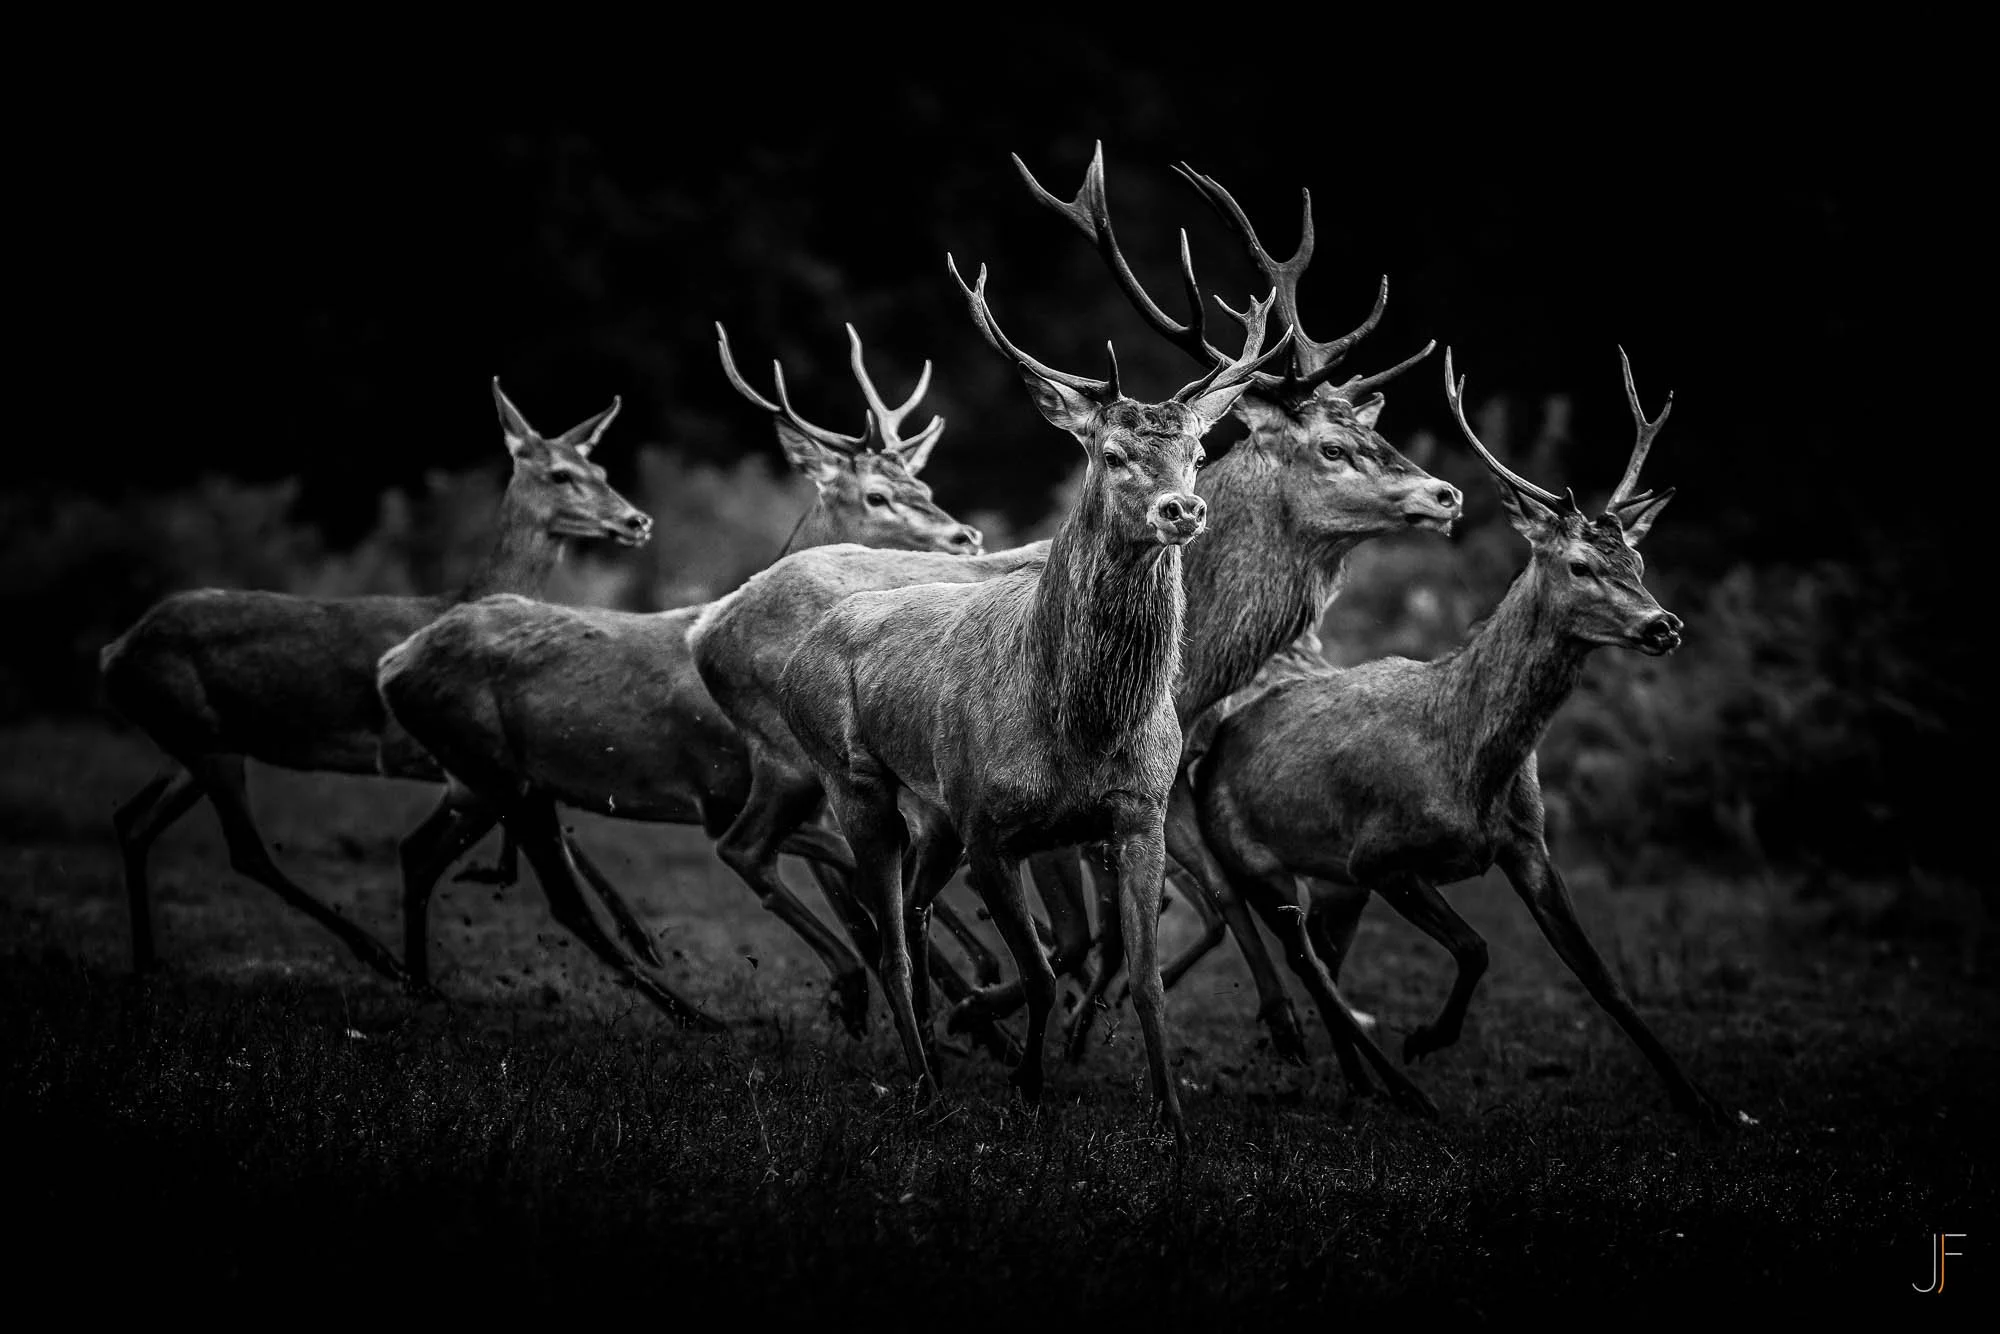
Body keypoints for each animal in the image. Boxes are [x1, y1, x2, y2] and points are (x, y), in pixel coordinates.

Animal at [98, 381, 650, 984]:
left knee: (133, 822)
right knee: (244, 851)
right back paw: (376, 953)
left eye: (600, 468)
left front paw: (634, 930)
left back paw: (145, 962)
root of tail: (114, 651)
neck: (460, 602)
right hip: (202, 736)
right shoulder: (436, 753)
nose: (636, 521)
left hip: (192, 742)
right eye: (559, 474)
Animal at [374, 323, 991, 1026]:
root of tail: (393, 663)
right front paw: (960, 997)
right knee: (562, 901)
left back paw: (423, 985)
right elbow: (864, 897)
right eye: (877, 495)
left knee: (418, 854)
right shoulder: (727, 788)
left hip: (480, 785)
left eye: (925, 486)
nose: (966, 537)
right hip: (503, 777)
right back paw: (696, 1012)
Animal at [1189, 347, 1727, 1121]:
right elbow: (1475, 948)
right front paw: (1426, 1039)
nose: (1665, 625)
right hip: (1255, 853)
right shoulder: (1380, 856)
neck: (1472, 767)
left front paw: (1700, 1101)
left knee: (1324, 953)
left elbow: (1602, 977)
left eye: (1638, 563)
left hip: (1331, 882)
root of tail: (1209, 745)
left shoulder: (1528, 844)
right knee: (1305, 958)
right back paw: (1400, 1088)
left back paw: (1361, 1082)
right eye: (1580, 565)